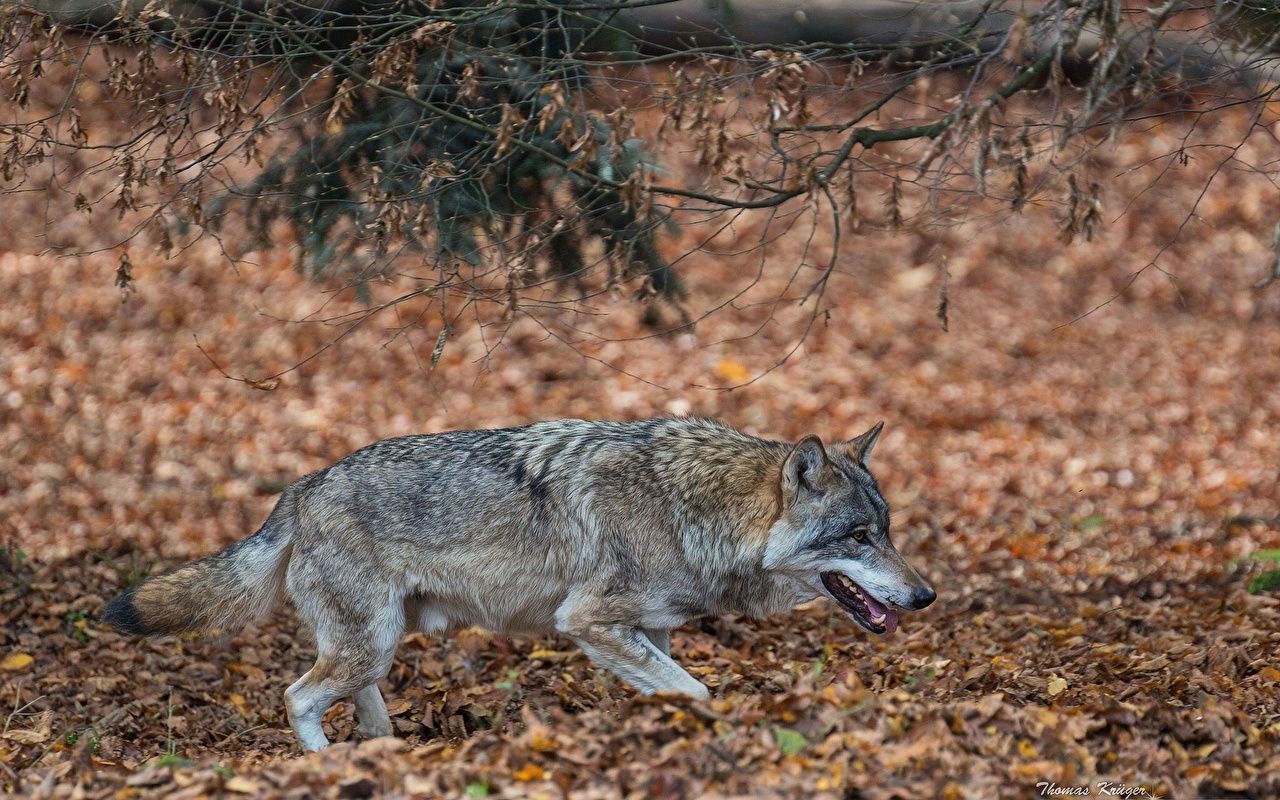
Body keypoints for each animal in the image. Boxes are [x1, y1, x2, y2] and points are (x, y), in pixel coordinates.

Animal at [102, 418, 935, 751]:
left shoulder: (649, 631)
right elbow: (697, 690)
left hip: (378, 643)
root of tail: (302, 487)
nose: (925, 597)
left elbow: (670, 686)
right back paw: (330, 766)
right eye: (858, 538)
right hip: (367, 644)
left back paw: (385, 752)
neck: (691, 508)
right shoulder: (588, 621)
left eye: (887, 530)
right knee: (298, 696)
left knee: (354, 699)